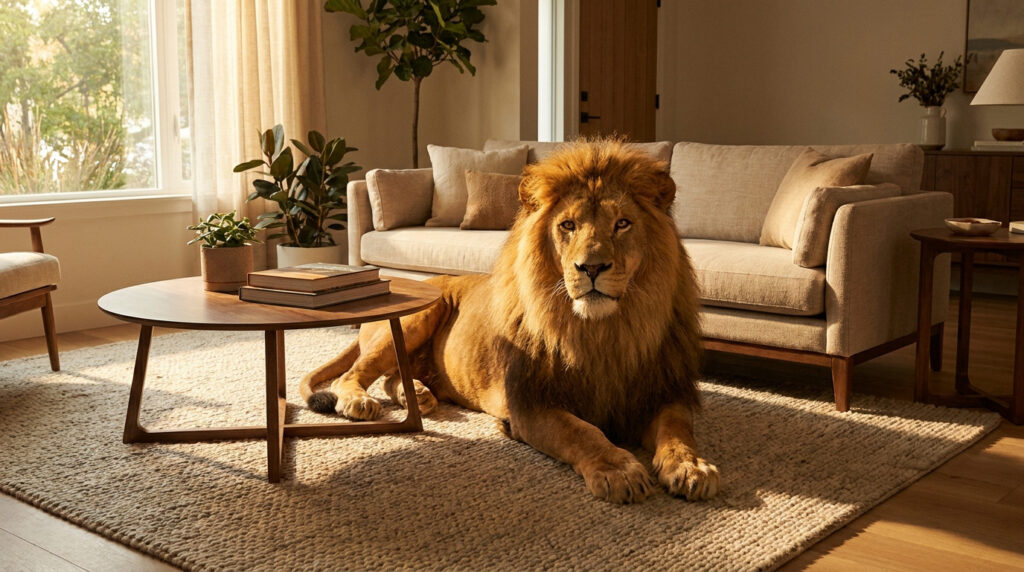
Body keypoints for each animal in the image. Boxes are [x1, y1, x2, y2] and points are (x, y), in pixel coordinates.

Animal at [299, 140, 719, 504]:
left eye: (622, 224)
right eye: (568, 226)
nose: (591, 268)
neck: (603, 330)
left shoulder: (661, 391)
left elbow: (678, 428)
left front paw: (691, 467)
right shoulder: (529, 404)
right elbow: (582, 431)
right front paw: (619, 470)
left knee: (391, 376)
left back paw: (416, 393)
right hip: (420, 314)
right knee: (353, 374)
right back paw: (359, 401)